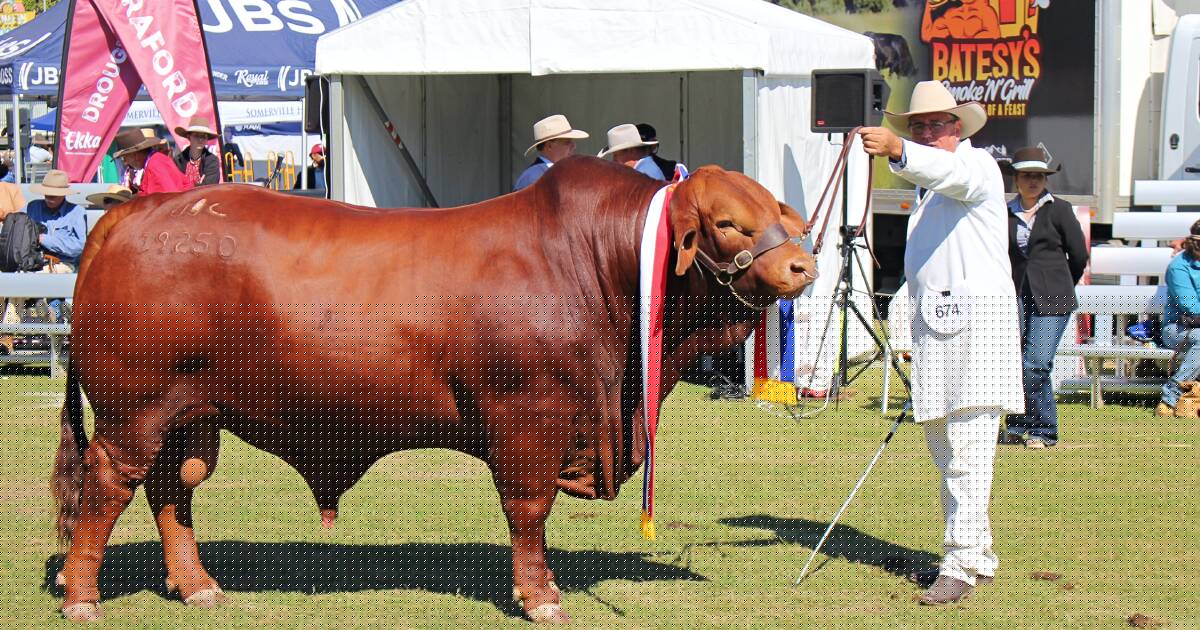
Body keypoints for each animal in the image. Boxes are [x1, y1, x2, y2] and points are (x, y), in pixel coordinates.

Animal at [52, 156, 818, 623]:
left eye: (781, 216)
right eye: (728, 223)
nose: (802, 266)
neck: (597, 266)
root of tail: (134, 212)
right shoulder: (529, 420)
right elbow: (528, 512)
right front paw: (540, 596)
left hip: (187, 414)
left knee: (170, 489)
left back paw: (198, 586)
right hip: (131, 411)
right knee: (107, 487)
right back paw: (82, 596)